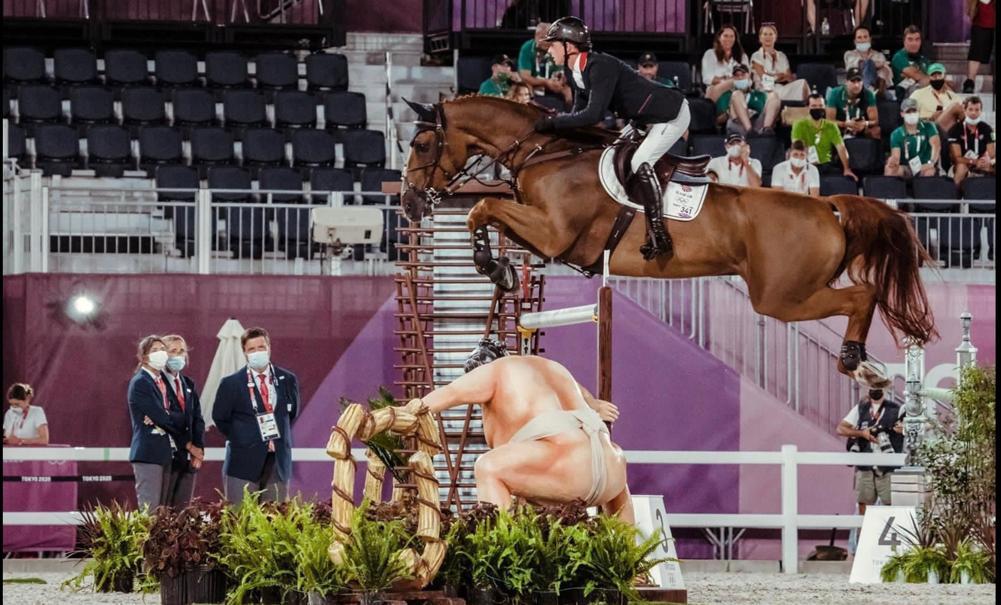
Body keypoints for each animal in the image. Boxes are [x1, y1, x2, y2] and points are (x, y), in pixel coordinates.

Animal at [400, 95, 936, 378]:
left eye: (423, 143)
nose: (408, 203)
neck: (546, 152)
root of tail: (828, 206)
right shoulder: (544, 236)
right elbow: (490, 224)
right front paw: (497, 282)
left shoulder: (554, 234)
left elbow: (483, 208)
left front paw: (491, 264)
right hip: (787, 293)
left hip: (782, 296)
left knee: (862, 294)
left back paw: (856, 360)